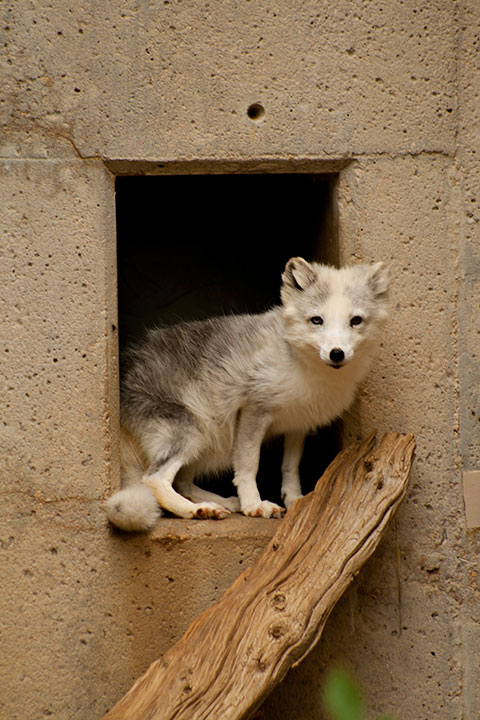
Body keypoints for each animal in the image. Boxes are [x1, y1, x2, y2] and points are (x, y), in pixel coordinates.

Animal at [104, 262, 386, 532]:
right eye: (317, 320)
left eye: (355, 320)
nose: (336, 353)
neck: (303, 366)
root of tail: (122, 383)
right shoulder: (253, 410)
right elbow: (249, 465)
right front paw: (254, 505)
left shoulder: (298, 424)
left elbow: (290, 468)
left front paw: (295, 500)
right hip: (193, 431)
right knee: (154, 478)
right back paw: (197, 510)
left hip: (209, 441)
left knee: (182, 481)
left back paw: (225, 503)